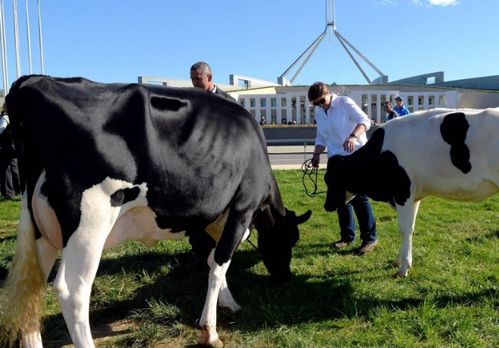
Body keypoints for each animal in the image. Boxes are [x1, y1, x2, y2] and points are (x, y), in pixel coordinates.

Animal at [0, 76, 310, 348]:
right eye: (290, 239)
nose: (285, 278)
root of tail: (31, 82)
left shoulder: (210, 219)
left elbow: (212, 260)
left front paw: (228, 302)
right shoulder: (241, 209)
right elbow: (220, 263)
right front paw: (210, 330)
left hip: (39, 226)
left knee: (33, 286)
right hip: (89, 223)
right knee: (71, 291)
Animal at [324, 109, 499, 278]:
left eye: (330, 179)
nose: (326, 206)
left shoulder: (402, 193)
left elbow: (404, 229)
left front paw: (403, 268)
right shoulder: (413, 197)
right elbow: (411, 228)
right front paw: (399, 261)